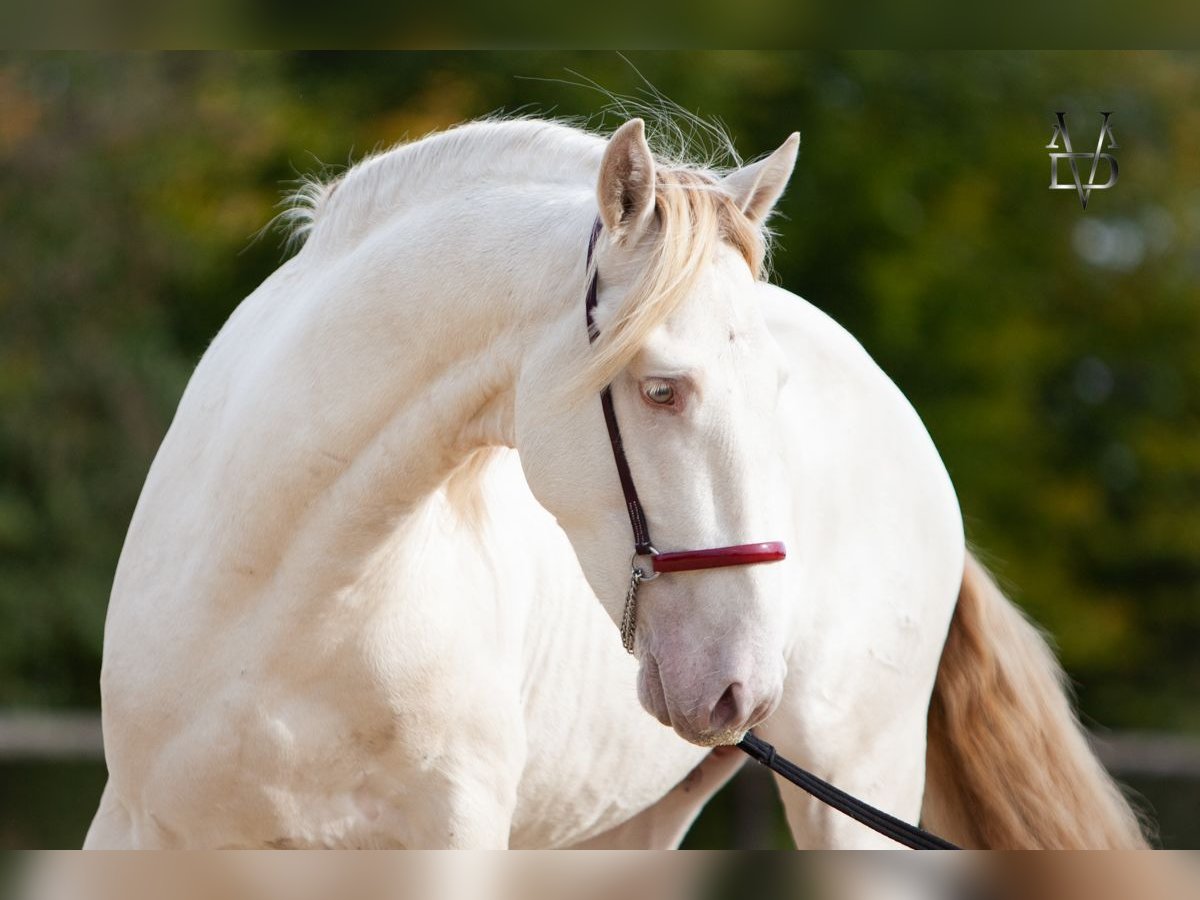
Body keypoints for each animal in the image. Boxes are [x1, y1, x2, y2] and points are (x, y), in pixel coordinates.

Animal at [84, 116, 1142, 849]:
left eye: (777, 388)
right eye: (661, 388)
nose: (742, 686)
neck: (289, 603)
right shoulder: (140, 833)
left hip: (856, 788)